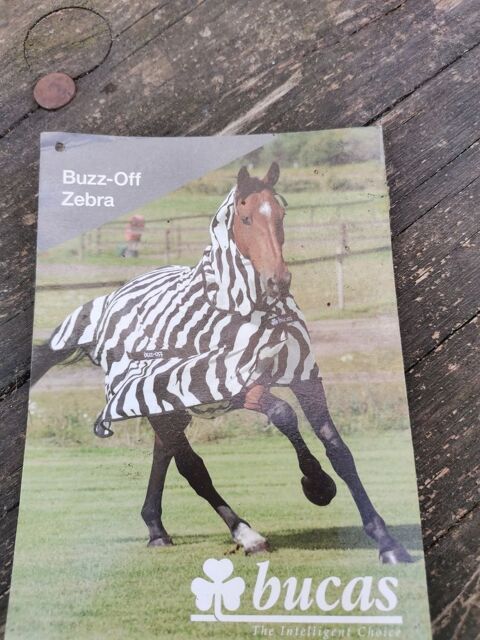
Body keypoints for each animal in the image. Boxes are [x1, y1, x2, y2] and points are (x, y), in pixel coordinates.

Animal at [31, 162, 413, 564]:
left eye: (281, 215)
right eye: (245, 218)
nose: (278, 281)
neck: (248, 311)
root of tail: (109, 302)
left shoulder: (304, 377)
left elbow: (339, 450)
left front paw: (386, 542)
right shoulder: (231, 383)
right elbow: (283, 414)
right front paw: (317, 484)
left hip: (167, 405)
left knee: (165, 453)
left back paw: (156, 530)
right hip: (158, 397)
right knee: (191, 466)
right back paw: (246, 534)